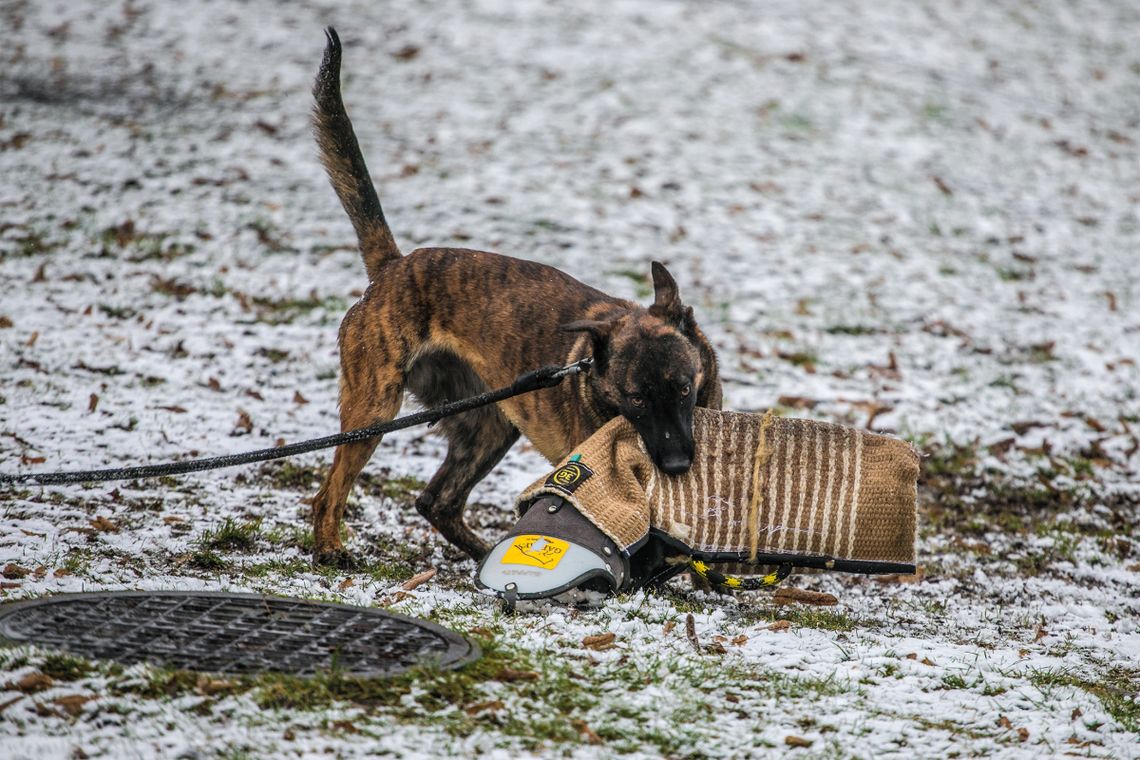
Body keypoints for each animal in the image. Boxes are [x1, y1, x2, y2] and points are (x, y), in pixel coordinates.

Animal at [312, 29, 720, 562]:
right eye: (635, 398)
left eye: (683, 389)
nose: (673, 464)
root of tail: (393, 267)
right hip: (375, 411)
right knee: (330, 490)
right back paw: (329, 547)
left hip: (490, 424)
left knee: (436, 500)